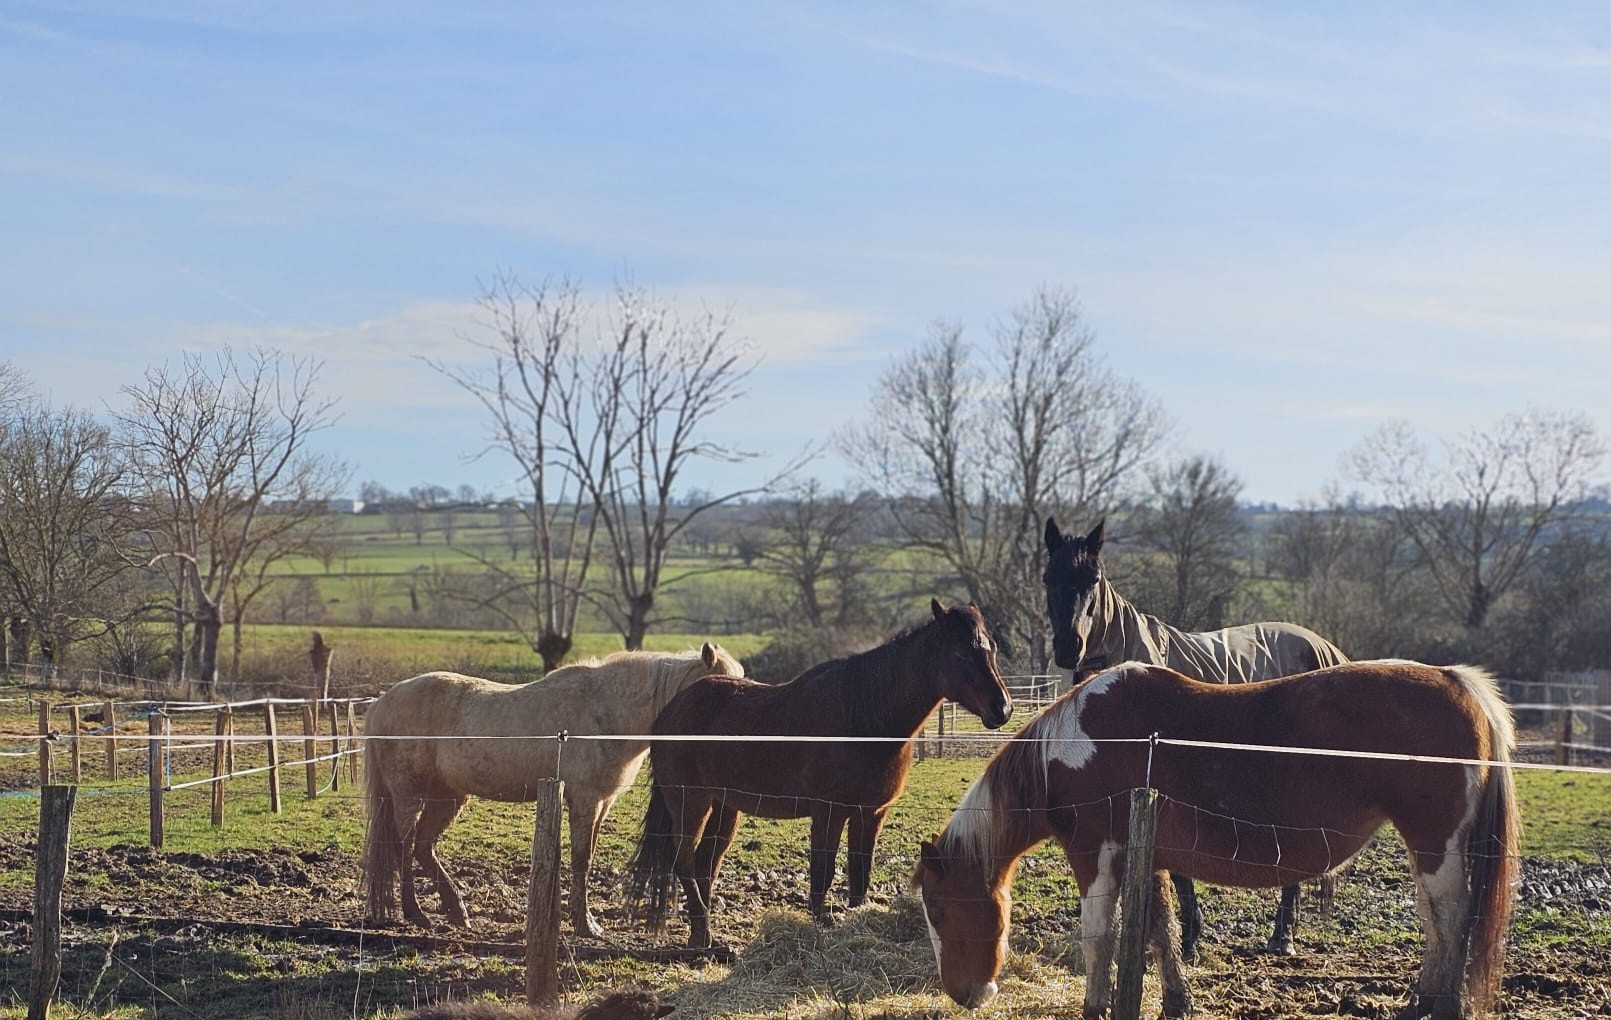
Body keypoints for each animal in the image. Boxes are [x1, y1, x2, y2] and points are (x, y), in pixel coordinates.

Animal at [363, 643, 744, 937]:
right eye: (719, 688)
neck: (607, 711)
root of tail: (382, 701)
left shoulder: (601, 803)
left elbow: (586, 858)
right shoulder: (585, 801)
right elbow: (580, 860)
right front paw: (585, 925)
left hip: (448, 796)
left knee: (423, 848)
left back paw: (456, 911)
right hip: (410, 794)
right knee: (405, 846)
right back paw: (416, 914)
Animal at [630, 600, 1013, 949]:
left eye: (991, 649)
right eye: (960, 653)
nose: (1003, 708)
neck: (862, 721)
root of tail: (670, 711)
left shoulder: (870, 814)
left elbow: (860, 875)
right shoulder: (828, 813)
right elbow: (822, 872)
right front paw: (819, 923)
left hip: (724, 807)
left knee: (705, 863)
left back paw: (705, 929)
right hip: (690, 802)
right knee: (683, 860)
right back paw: (701, 935)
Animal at [913, 660, 1520, 1020]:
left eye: (939, 913)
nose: (962, 995)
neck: (1073, 747)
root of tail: (1455, 680)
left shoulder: (1096, 856)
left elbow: (1098, 940)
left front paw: (1095, 1006)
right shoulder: (1147, 857)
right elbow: (1159, 932)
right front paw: (1175, 1002)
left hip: (1435, 845)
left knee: (1450, 920)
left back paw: (1438, 1006)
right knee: (1437, 923)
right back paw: (1420, 1002)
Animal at [1044, 516, 1350, 956]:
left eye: (1094, 580)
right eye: (1049, 576)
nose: (1069, 648)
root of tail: (1323, 649)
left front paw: (1185, 941)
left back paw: (1283, 938)